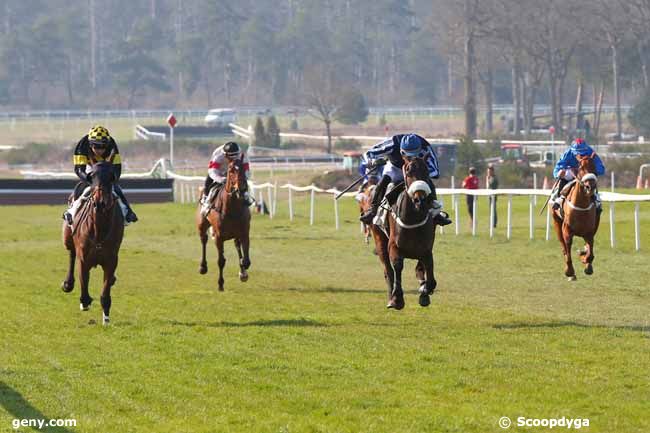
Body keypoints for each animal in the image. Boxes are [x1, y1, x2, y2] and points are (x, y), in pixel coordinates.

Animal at [61, 161, 123, 324]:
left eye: (111, 176)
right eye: (92, 176)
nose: (100, 202)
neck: (99, 228)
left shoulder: (111, 260)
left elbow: (106, 289)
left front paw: (106, 317)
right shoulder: (84, 258)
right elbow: (84, 281)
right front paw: (85, 302)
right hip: (67, 238)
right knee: (71, 254)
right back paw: (68, 284)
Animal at [195, 156, 251, 290]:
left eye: (243, 168)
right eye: (231, 170)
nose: (242, 189)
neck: (231, 209)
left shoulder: (244, 233)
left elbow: (246, 261)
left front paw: (243, 273)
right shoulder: (219, 237)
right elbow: (221, 261)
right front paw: (220, 284)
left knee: (237, 245)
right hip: (202, 225)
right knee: (203, 240)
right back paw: (203, 267)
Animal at [370, 157, 436, 308]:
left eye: (426, 171)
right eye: (408, 171)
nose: (420, 200)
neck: (413, 219)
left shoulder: (426, 249)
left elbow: (428, 273)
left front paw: (424, 292)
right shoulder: (394, 247)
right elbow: (397, 266)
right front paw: (397, 299)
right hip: (379, 239)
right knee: (388, 271)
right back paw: (390, 297)